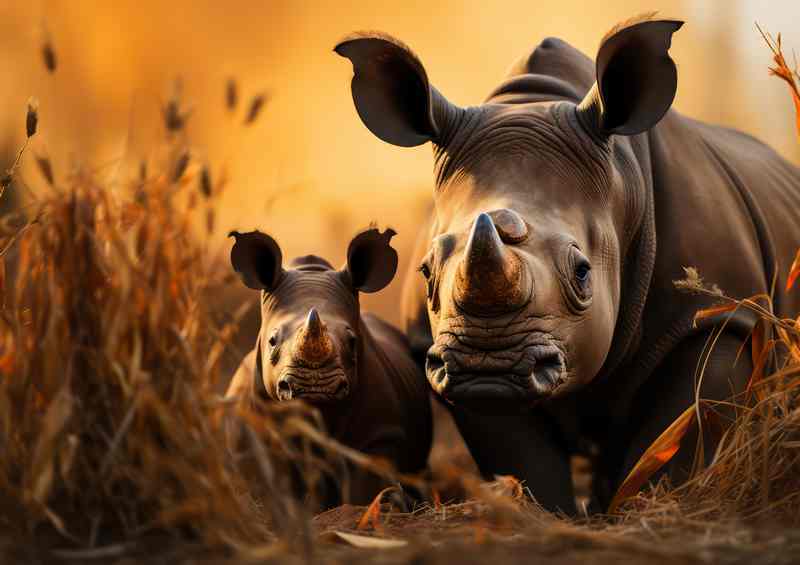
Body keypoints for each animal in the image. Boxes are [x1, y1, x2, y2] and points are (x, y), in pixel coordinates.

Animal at [226, 227, 432, 505]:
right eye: (272, 341)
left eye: (352, 342)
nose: (315, 385)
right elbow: (271, 486)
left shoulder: (381, 435)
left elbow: (365, 489)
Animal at [336, 16, 800, 513]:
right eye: (426, 272)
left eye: (582, 272)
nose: (488, 365)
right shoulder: (444, 356)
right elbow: (522, 456)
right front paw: (552, 515)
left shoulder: (719, 315)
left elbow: (676, 433)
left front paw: (641, 507)